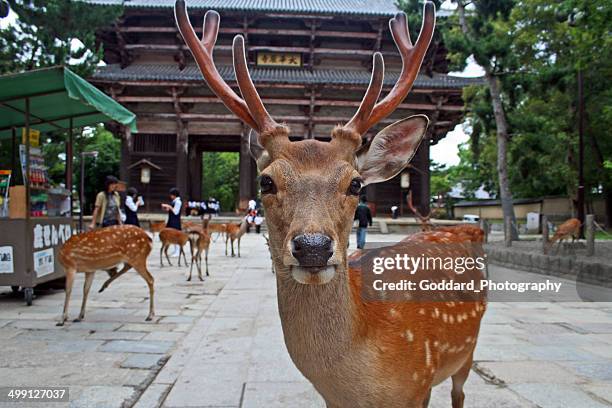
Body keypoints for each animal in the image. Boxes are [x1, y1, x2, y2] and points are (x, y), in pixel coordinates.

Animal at [176, 1, 488, 406]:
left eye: (355, 183)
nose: (313, 247)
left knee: (459, 392)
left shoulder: (418, 382)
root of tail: (469, 229)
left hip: (467, 351)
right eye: (266, 180)